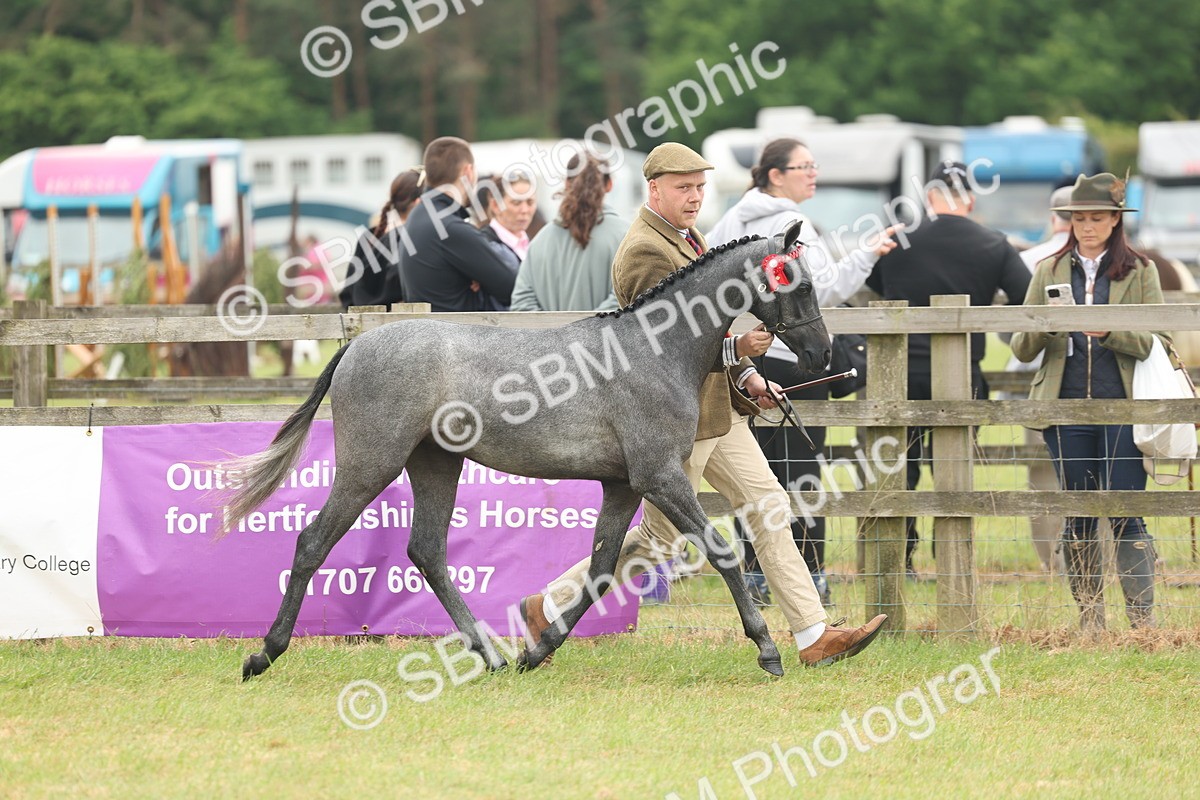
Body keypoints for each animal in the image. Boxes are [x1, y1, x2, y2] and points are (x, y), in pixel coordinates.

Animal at [225, 220, 830, 680]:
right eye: (798, 284)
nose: (822, 354)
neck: (654, 351)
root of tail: (356, 346)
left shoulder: (622, 485)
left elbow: (602, 569)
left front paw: (535, 652)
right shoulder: (660, 477)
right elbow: (721, 552)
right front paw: (768, 651)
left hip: (436, 464)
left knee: (427, 551)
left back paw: (491, 656)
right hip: (369, 464)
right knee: (313, 542)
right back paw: (263, 655)